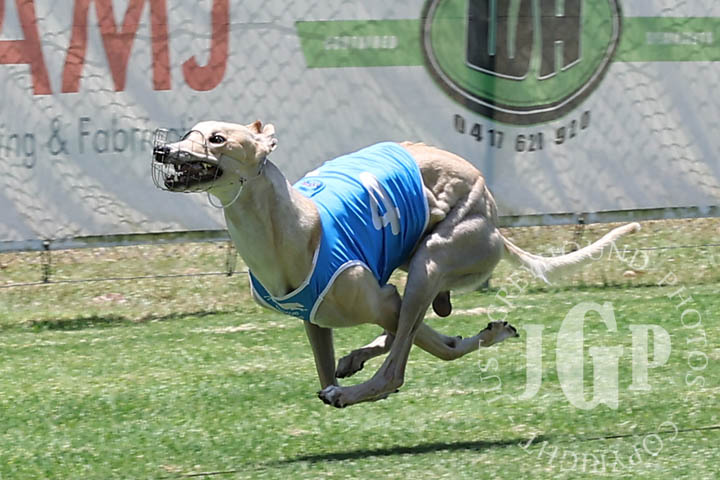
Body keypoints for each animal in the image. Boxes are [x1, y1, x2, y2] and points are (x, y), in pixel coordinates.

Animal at [151, 120, 640, 408]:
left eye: (217, 139)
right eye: (189, 132)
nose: (162, 151)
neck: (295, 224)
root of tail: (496, 223)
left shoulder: (380, 296)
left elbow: (422, 343)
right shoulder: (315, 318)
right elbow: (343, 353)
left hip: (433, 258)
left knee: (400, 360)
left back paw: (358, 386)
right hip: (414, 264)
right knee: (409, 329)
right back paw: (358, 360)